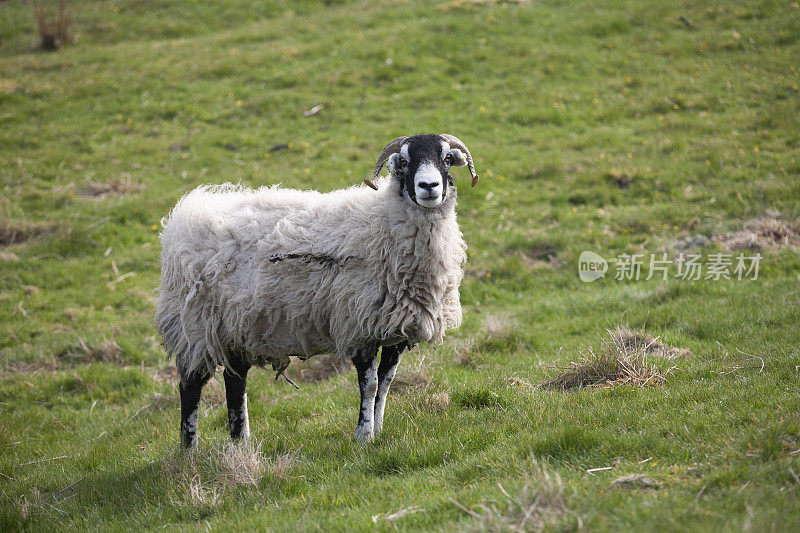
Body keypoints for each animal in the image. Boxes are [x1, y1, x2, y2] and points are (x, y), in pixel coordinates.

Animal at [157, 132, 482, 444]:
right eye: (404, 161)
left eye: (447, 159)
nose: (429, 186)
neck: (382, 221)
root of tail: (182, 218)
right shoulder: (358, 327)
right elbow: (370, 384)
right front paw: (363, 436)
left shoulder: (394, 331)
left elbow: (386, 383)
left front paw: (377, 429)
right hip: (195, 328)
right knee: (190, 386)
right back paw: (190, 449)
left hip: (235, 329)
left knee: (235, 382)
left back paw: (241, 442)